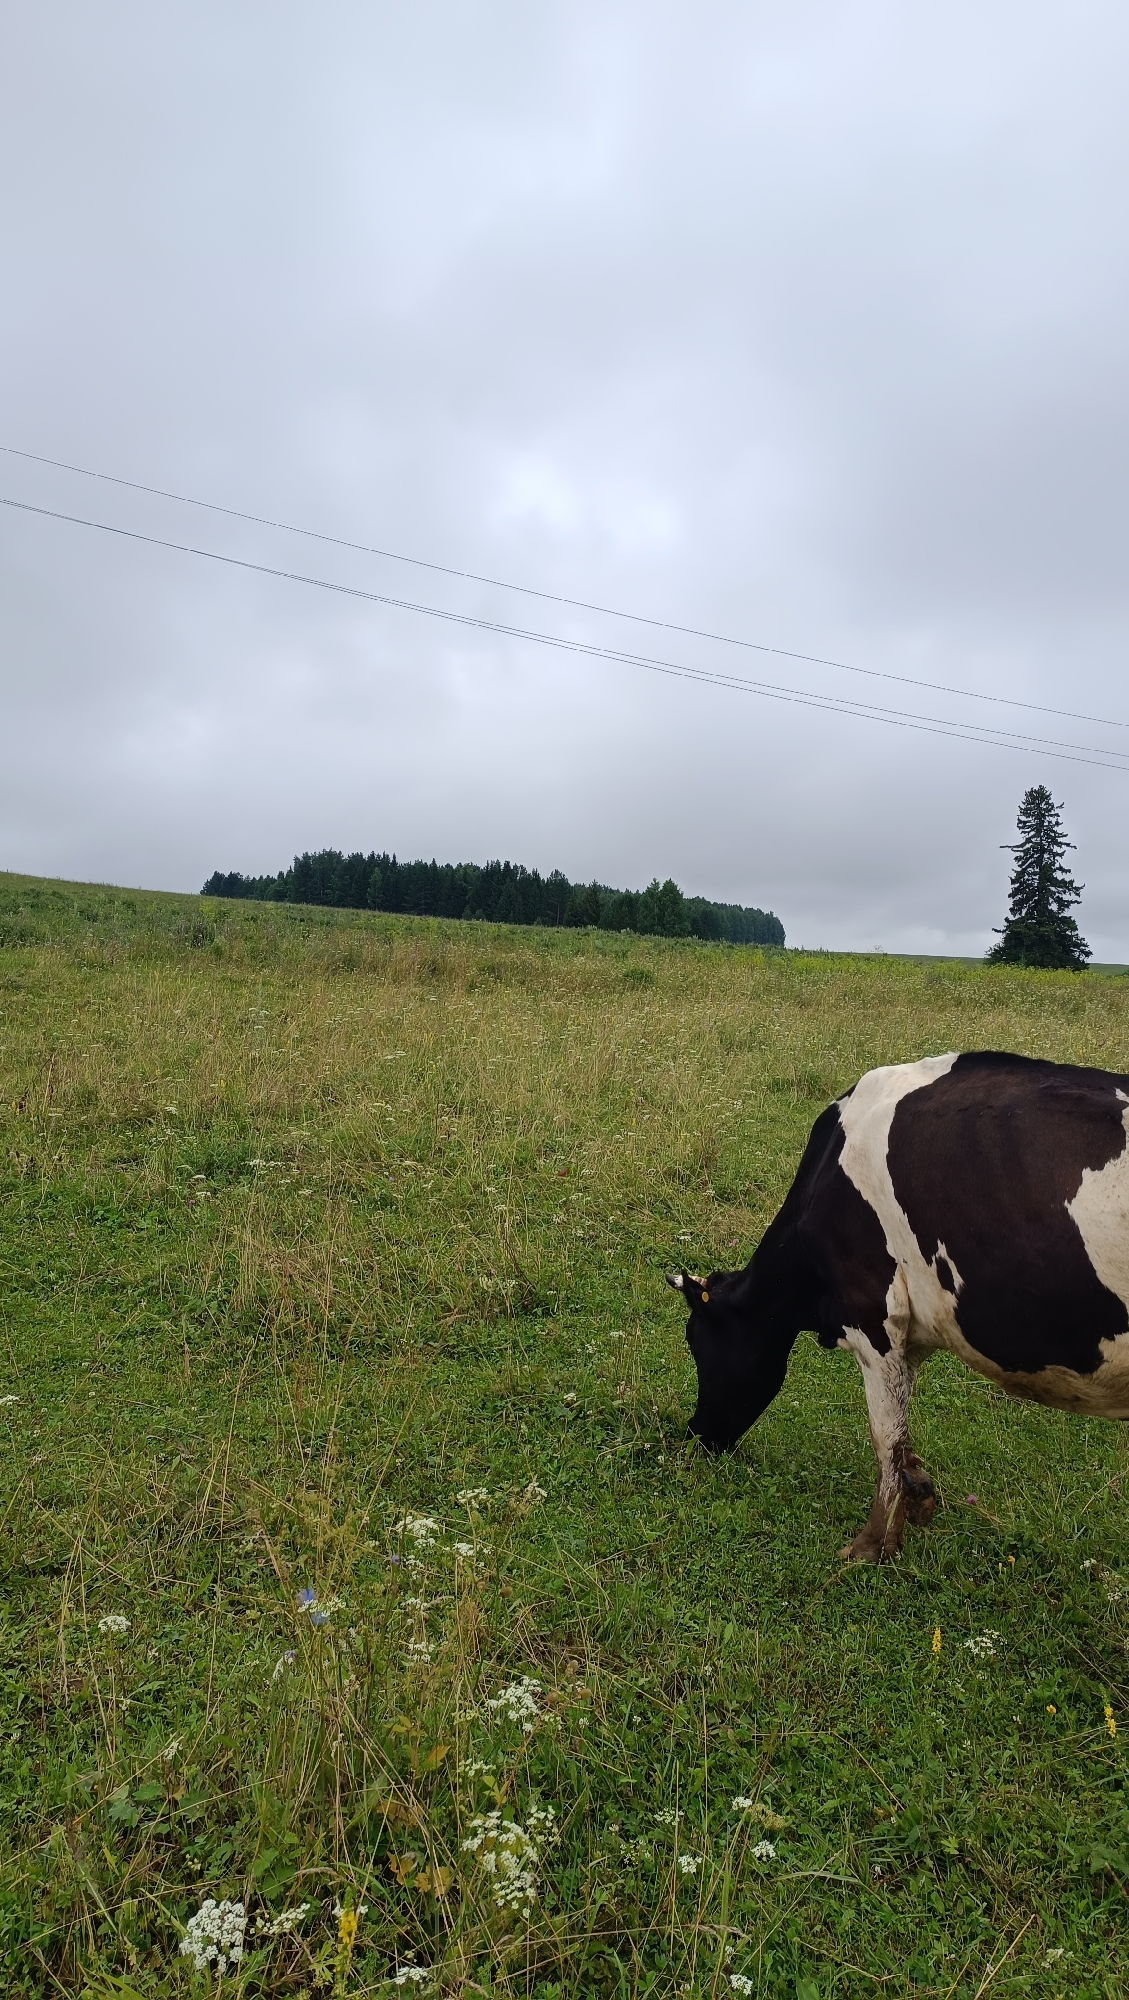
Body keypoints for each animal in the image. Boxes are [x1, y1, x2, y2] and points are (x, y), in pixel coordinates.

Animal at [667, 1051, 1129, 1561]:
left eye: (696, 1343)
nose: (697, 1433)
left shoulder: (874, 1318)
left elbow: (885, 1435)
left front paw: (870, 1546)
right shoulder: (910, 1334)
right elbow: (902, 1432)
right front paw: (917, 1496)